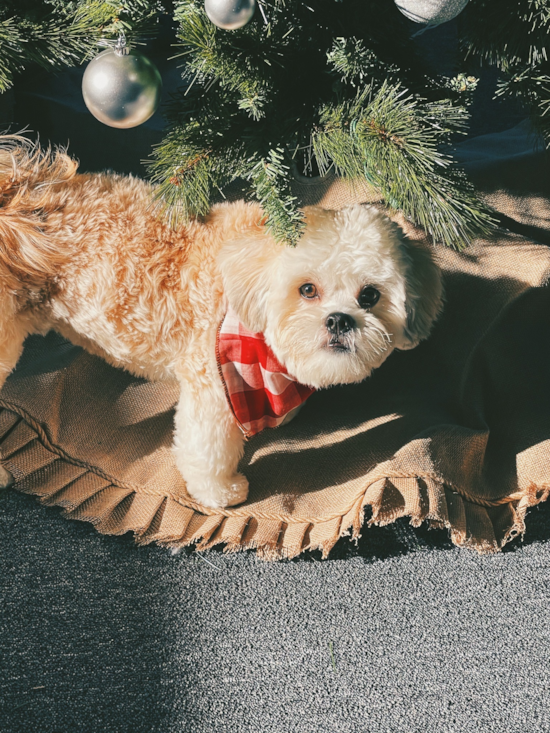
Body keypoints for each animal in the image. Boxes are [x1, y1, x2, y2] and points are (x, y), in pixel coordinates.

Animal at [0, 134, 444, 506]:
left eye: (370, 295)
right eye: (307, 290)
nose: (338, 320)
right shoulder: (213, 389)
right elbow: (206, 451)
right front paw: (220, 492)